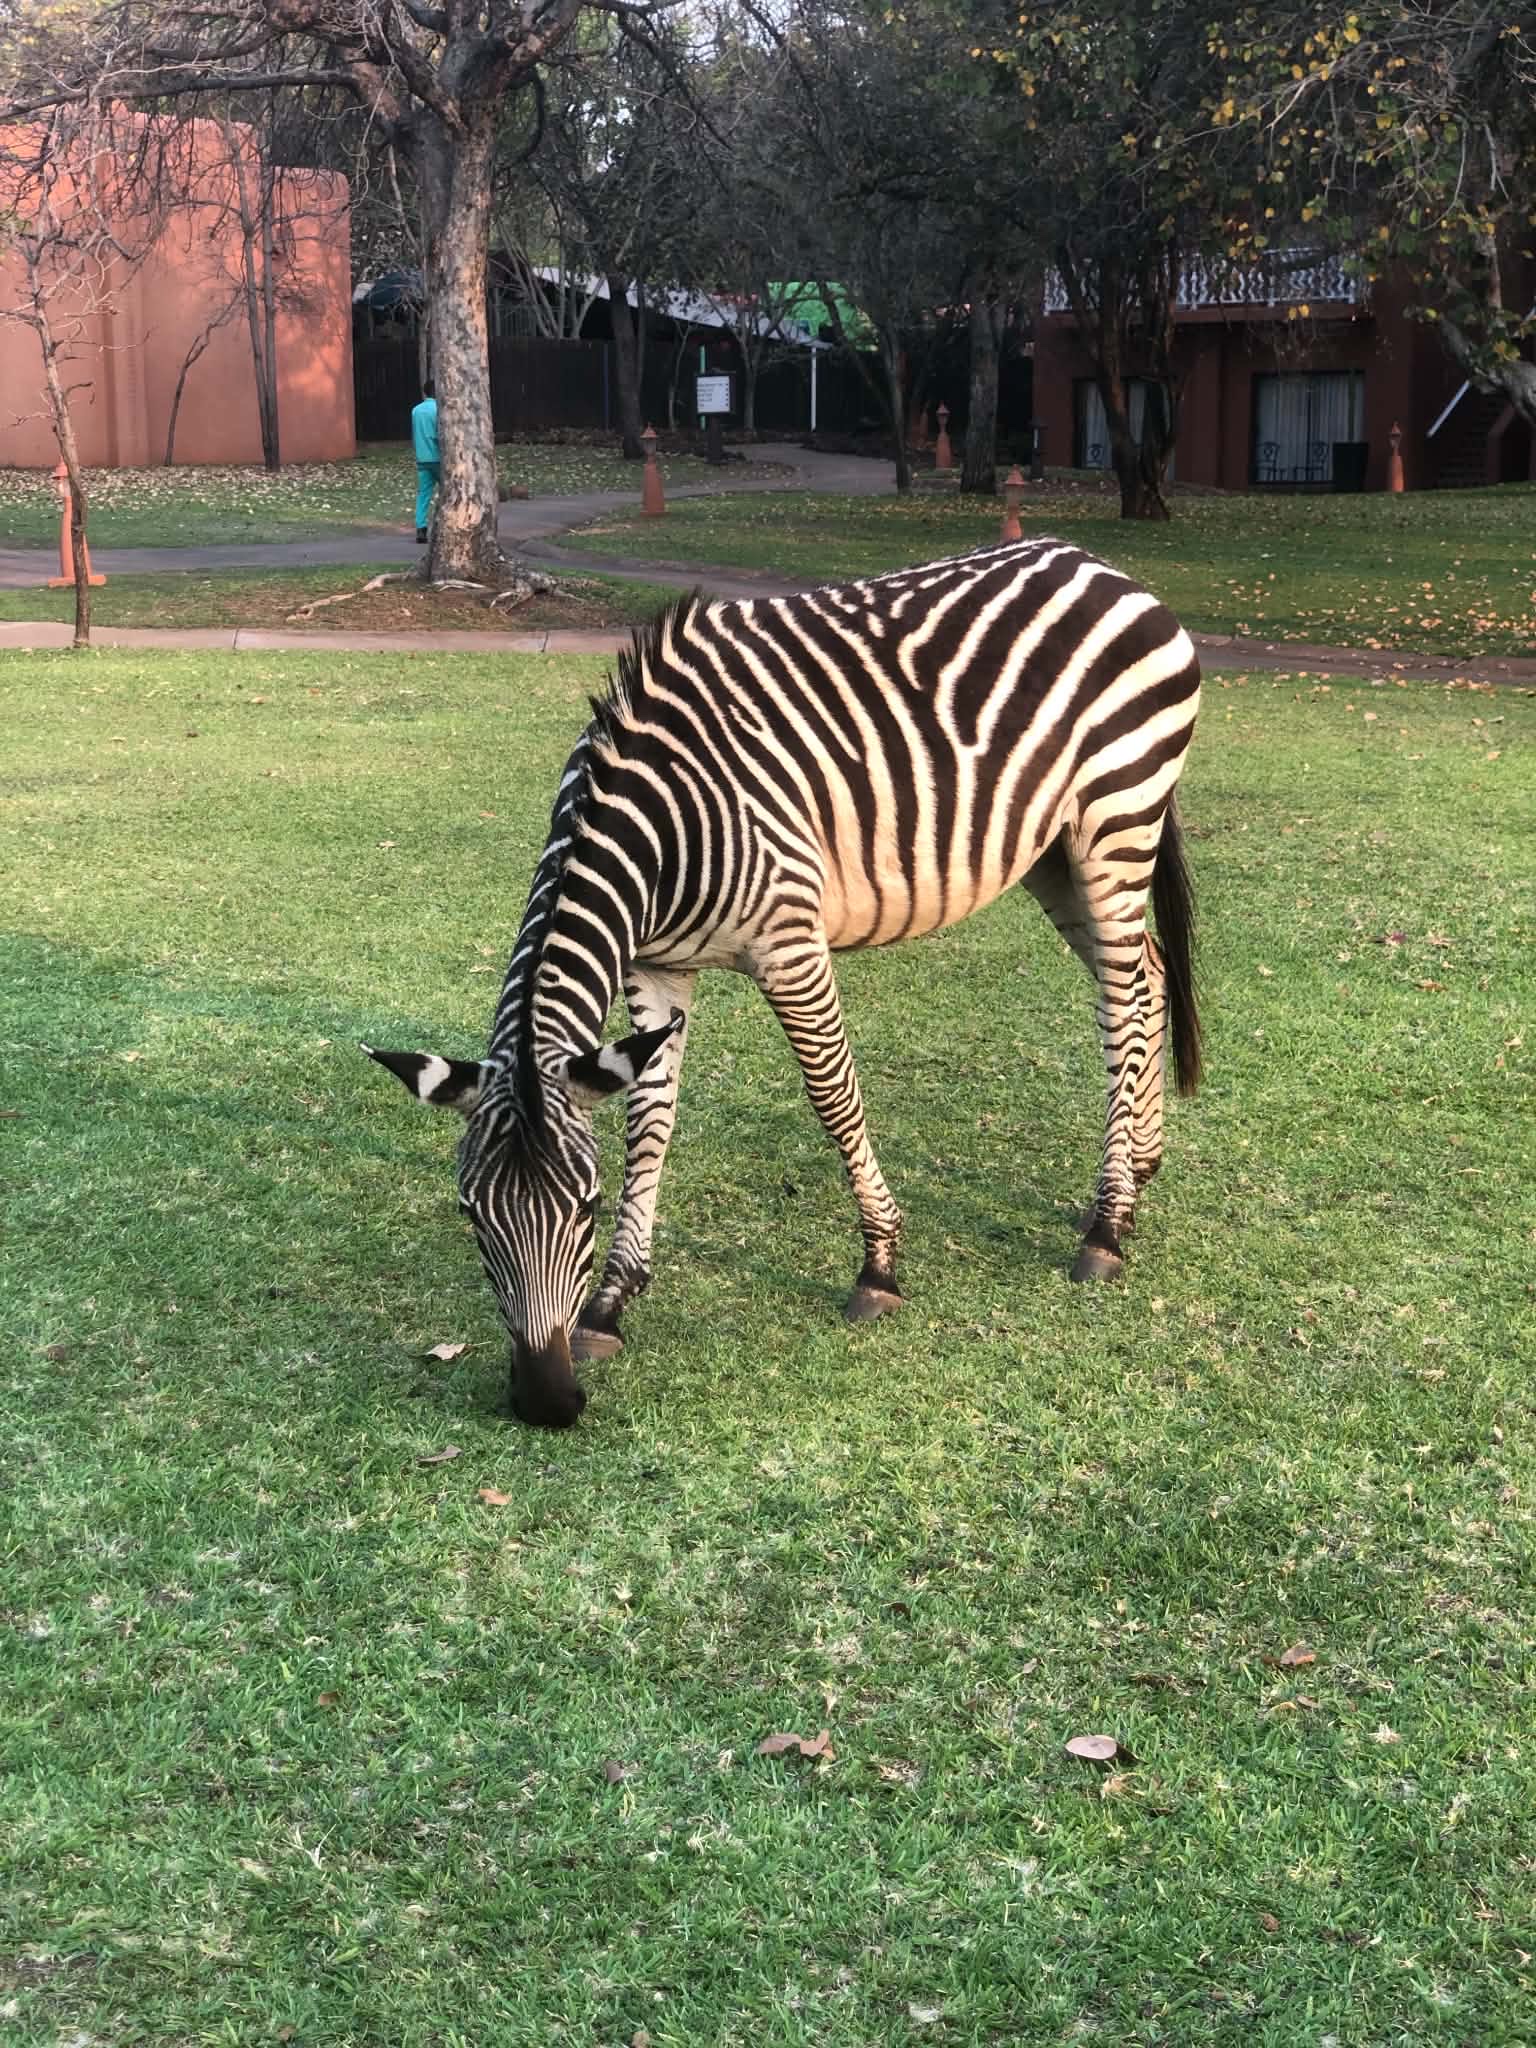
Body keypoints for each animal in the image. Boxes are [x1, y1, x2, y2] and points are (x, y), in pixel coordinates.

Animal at [366, 537, 1202, 1428]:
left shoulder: (789, 947)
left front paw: (879, 1265)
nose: (546, 1403)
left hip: (1115, 821)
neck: (656, 830)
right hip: (1054, 850)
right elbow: (651, 1119)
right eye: (469, 1212)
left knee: (1122, 998)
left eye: (583, 1204)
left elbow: (833, 1098)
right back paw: (1137, 1174)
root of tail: (1096, 564)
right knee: (1144, 978)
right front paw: (610, 1305)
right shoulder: (657, 965)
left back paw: (1106, 1225)